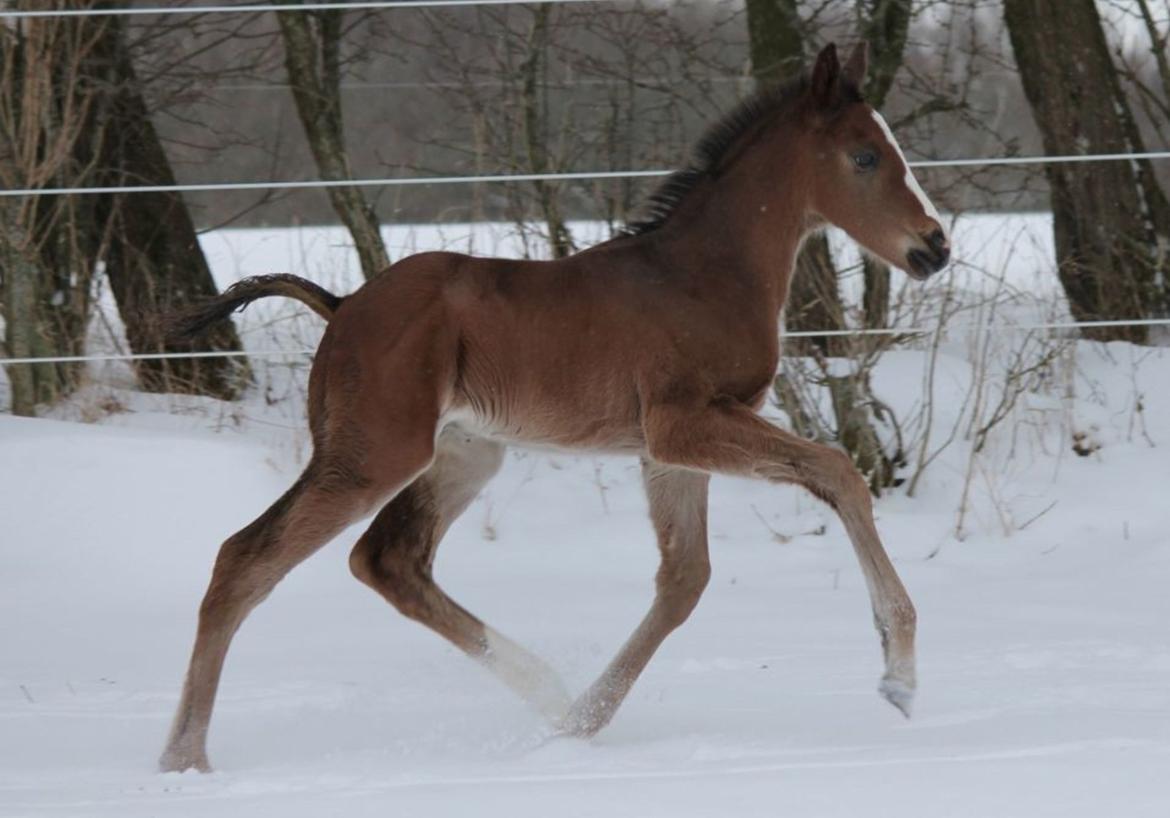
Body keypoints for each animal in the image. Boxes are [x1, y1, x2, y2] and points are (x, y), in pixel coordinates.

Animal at [157, 43, 950, 772]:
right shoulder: (685, 423)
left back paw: (546, 689)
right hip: (375, 453)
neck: (702, 274)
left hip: (466, 454)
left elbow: (684, 580)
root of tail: (344, 304)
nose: (935, 246)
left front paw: (582, 720)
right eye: (865, 157)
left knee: (388, 560)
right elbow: (837, 471)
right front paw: (899, 674)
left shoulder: (667, 450)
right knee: (246, 558)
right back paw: (184, 757)